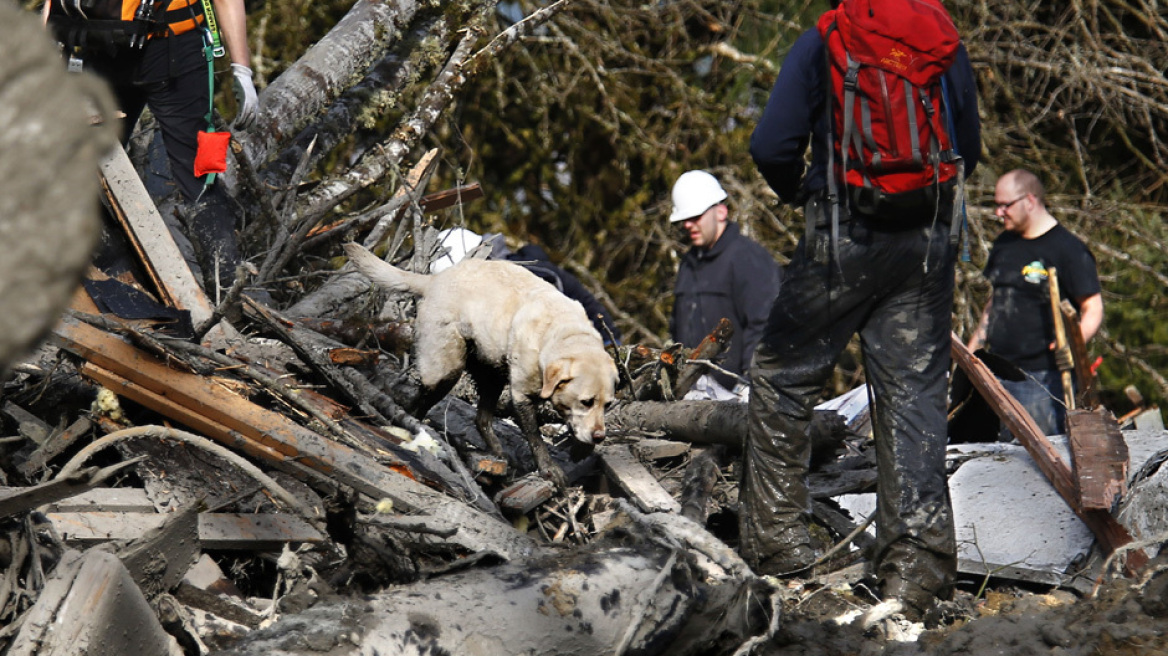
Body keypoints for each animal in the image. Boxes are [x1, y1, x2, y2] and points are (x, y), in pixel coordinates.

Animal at [343, 241, 621, 485]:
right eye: (586, 401)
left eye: (607, 404)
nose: (599, 436)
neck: (561, 333)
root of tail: (435, 279)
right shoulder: (521, 395)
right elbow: (535, 437)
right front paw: (549, 469)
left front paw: (581, 448)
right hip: (446, 369)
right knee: (417, 405)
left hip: (491, 373)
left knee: (481, 418)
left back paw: (496, 451)